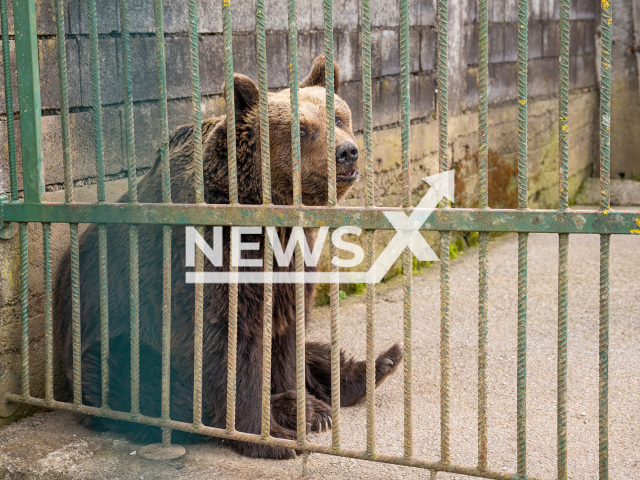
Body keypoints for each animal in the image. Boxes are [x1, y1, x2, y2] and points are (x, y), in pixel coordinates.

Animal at [56, 54, 404, 460]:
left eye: (337, 118)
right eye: (302, 130)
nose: (348, 152)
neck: (268, 214)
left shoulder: (292, 264)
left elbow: (287, 337)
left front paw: (302, 406)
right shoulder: (209, 256)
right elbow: (226, 342)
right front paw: (273, 435)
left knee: (315, 349)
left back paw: (378, 365)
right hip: (111, 336)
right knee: (142, 383)